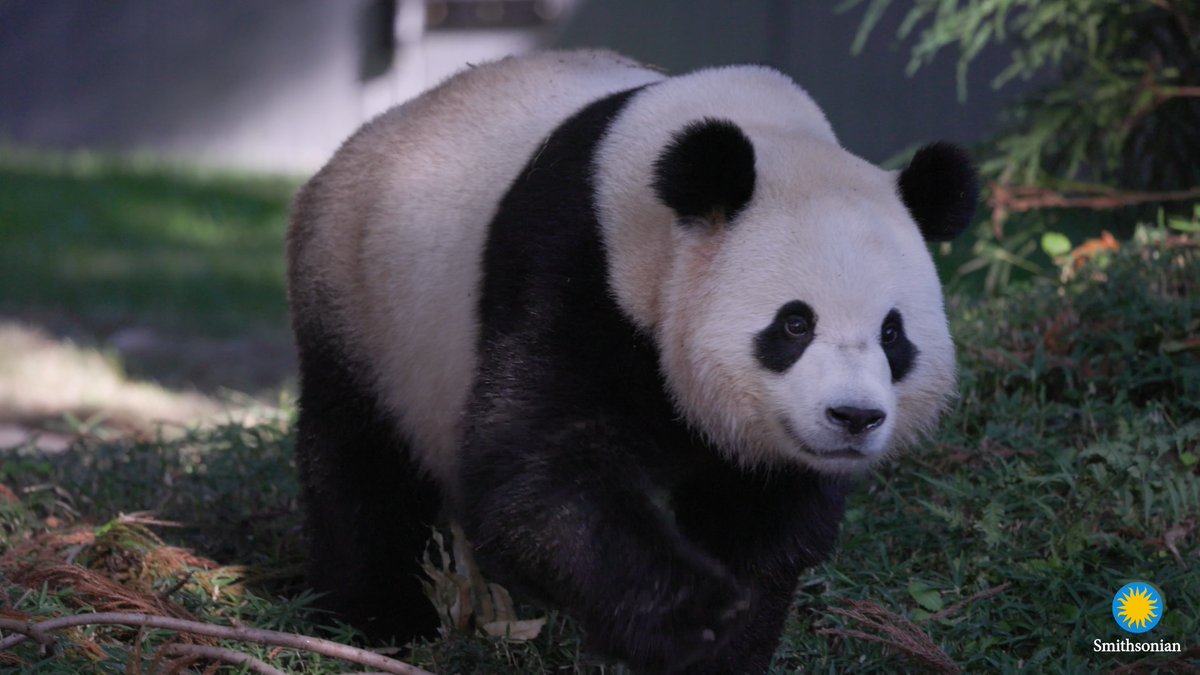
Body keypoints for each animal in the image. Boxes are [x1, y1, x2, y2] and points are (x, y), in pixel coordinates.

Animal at [287, 50, 977, 674]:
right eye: (795, 323)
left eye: (892, 334)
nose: (853, 417)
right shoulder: (572, 271)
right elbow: (541, 477)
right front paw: (692, 618)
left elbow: (763, 520)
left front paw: (729, 644)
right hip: (367, 305)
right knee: (360, 462)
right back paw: (381, 617)